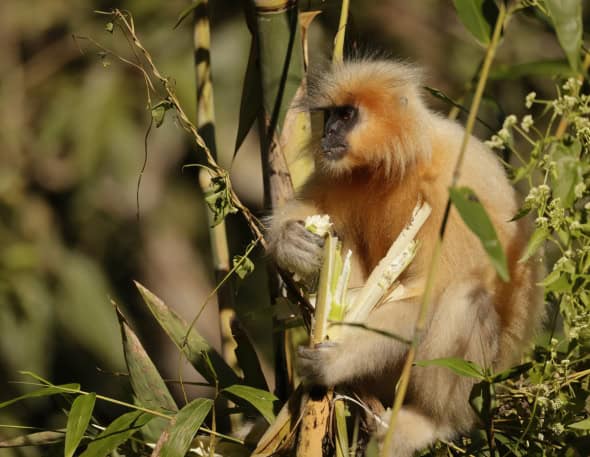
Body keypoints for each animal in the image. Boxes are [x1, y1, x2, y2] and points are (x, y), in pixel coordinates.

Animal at [268, 58, 544, 454]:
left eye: (347, 115)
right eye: (331, 114)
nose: (328, 132)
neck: (400, 164)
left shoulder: (451, 191)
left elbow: (424, 298)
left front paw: (336, 360)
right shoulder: (345, 173)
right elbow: (304, 213)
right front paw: (291, 242)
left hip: (483, 378)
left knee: (465, 299)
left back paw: (433, 422)